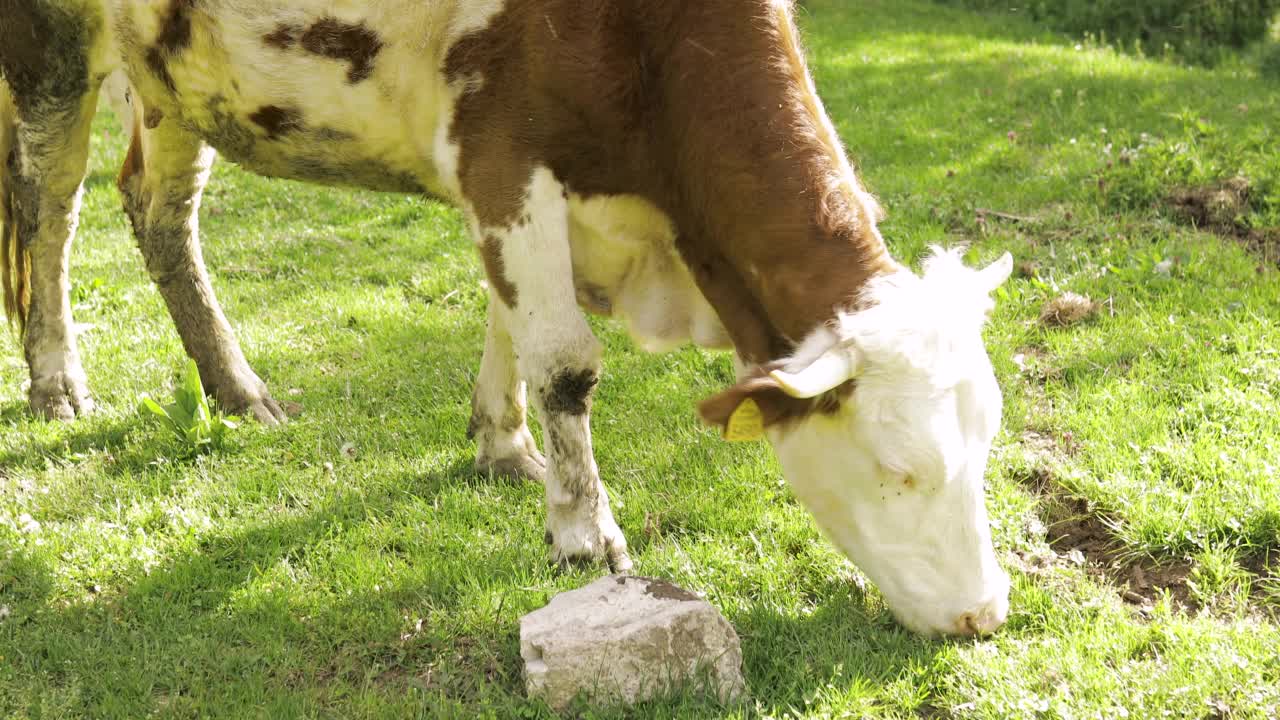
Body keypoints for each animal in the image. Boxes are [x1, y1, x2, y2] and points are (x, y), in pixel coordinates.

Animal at [5, 0, 1013, 630]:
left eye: (985, 448)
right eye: (897, 471)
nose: (983, 613)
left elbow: (507, 319)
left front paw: (503, 443)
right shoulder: (504, 147)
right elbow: (565, 359)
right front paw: (583, 532)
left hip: (173, 76)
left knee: (157, 209)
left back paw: (235, 389)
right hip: (53, 44)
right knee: (45, 202)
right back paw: (57, 379)